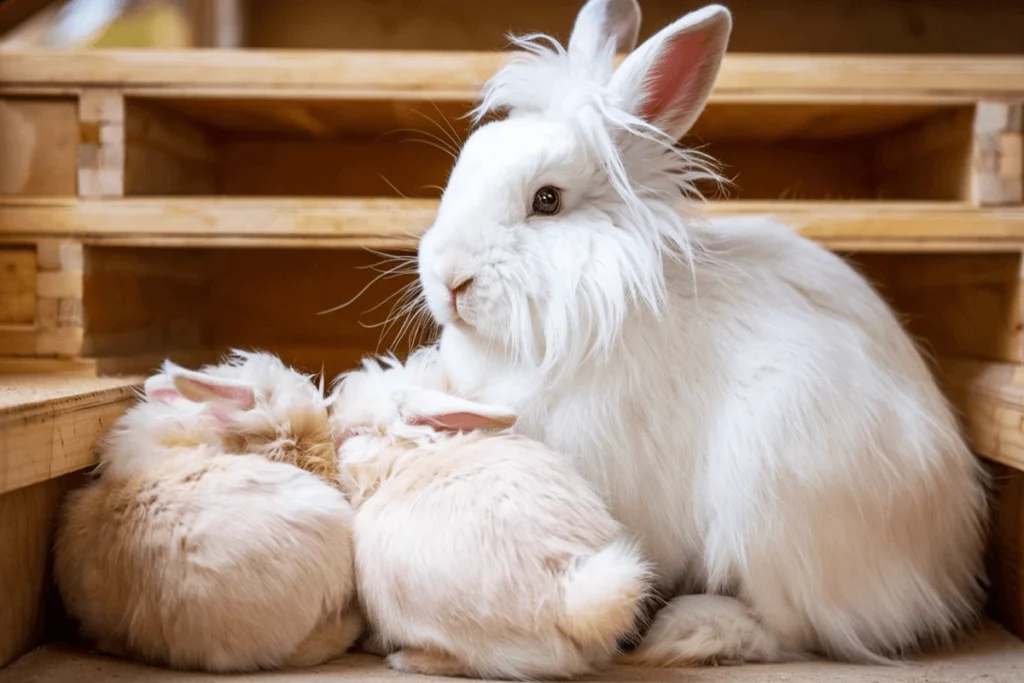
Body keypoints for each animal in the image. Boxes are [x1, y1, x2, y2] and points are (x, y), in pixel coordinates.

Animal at [413, 0, 983, 663]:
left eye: (547, 200)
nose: (449, 277)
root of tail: (945, 570)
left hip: (773, 501)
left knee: (796, 628)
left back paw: (690, 629)